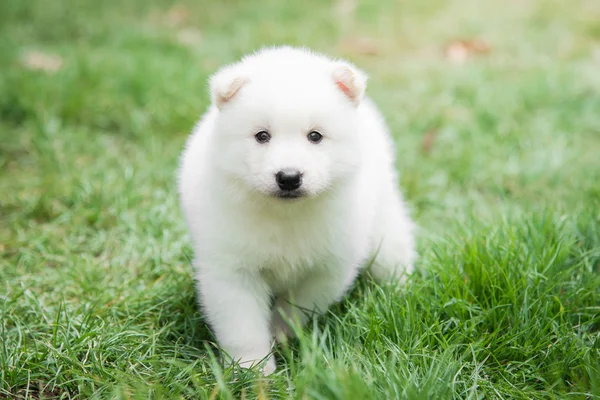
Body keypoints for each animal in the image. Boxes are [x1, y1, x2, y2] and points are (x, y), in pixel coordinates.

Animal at [176, 47, 414, 376]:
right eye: (262, 136)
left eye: (315, 136)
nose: (288, 177)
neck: (285, 215)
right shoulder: (232, 268)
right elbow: (242, 325)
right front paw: (251, 368)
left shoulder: (329, 266)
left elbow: (297, 305)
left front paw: (279, 331)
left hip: (384, 224)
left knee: (392, 254)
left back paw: (398, 293)